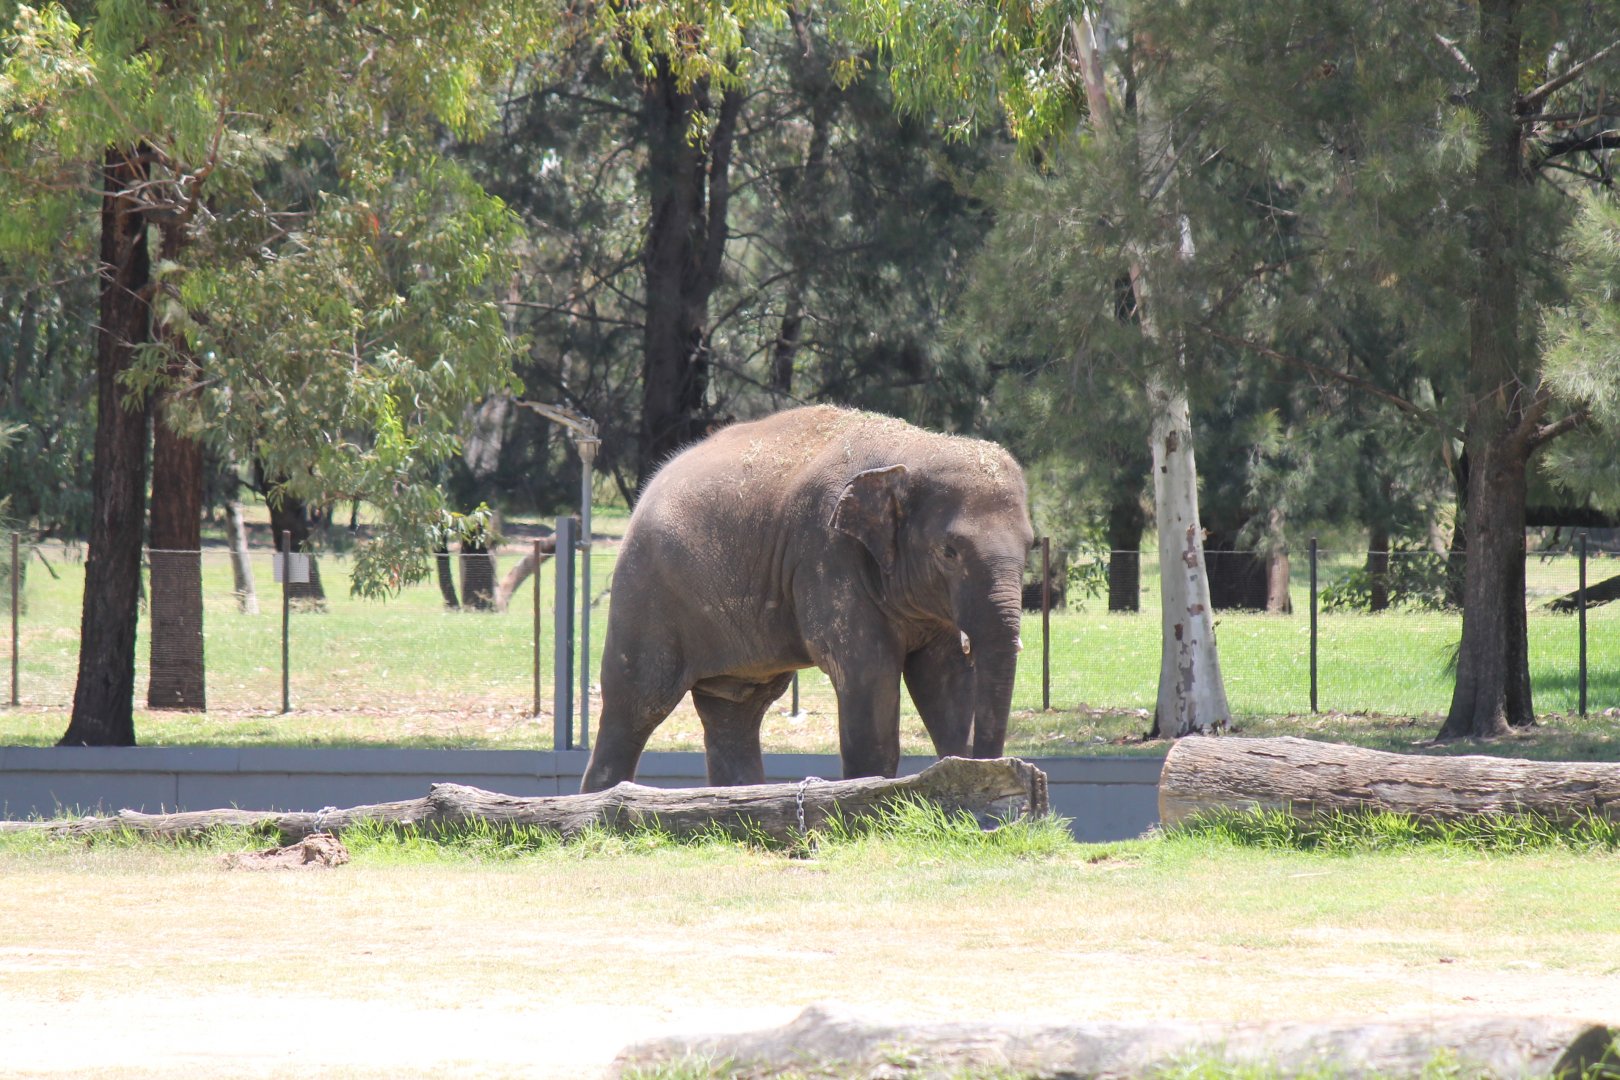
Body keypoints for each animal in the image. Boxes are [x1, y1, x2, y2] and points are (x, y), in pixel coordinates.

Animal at [580, 405, 1034, 792]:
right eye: (949, 552)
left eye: (1031, 546)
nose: (998, 771)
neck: (913, 451)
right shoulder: (827, 553)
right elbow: (868, 670)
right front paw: (869, 794)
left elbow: (944, 677)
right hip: (646, 592)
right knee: (636, 703)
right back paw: (602, 801)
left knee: (735, 708)